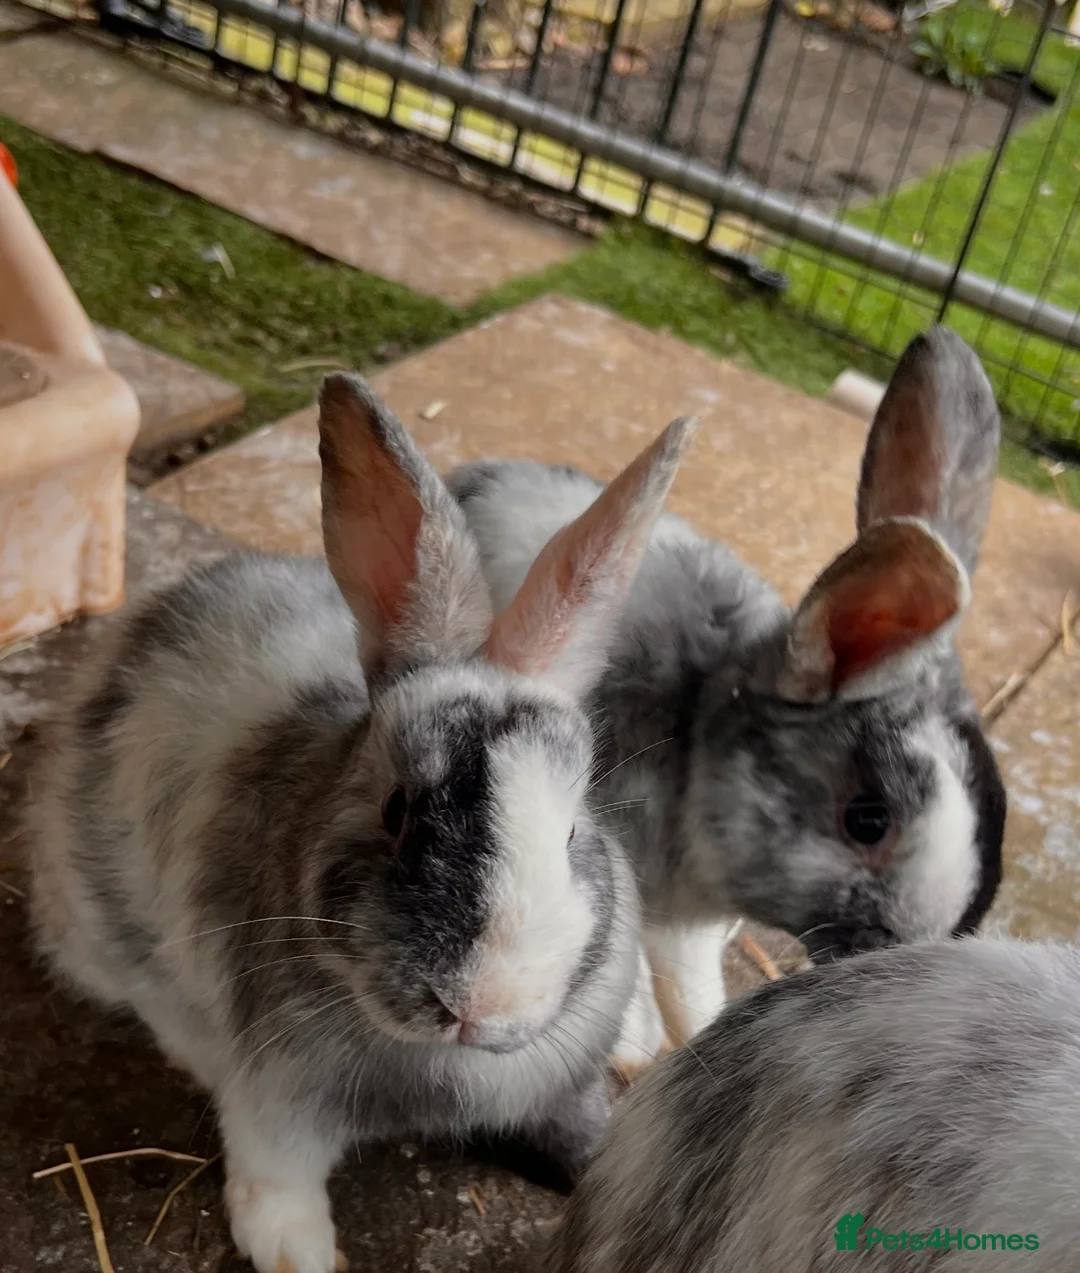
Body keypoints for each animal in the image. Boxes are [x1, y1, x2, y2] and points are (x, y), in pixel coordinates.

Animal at [26, 373, 696, 1273]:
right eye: (396, 810)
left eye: (572, 831)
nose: (481, 1002)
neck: (447, 1066)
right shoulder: (277, 1096)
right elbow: (275, 1177)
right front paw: (297, 1253)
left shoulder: (563, 1079)